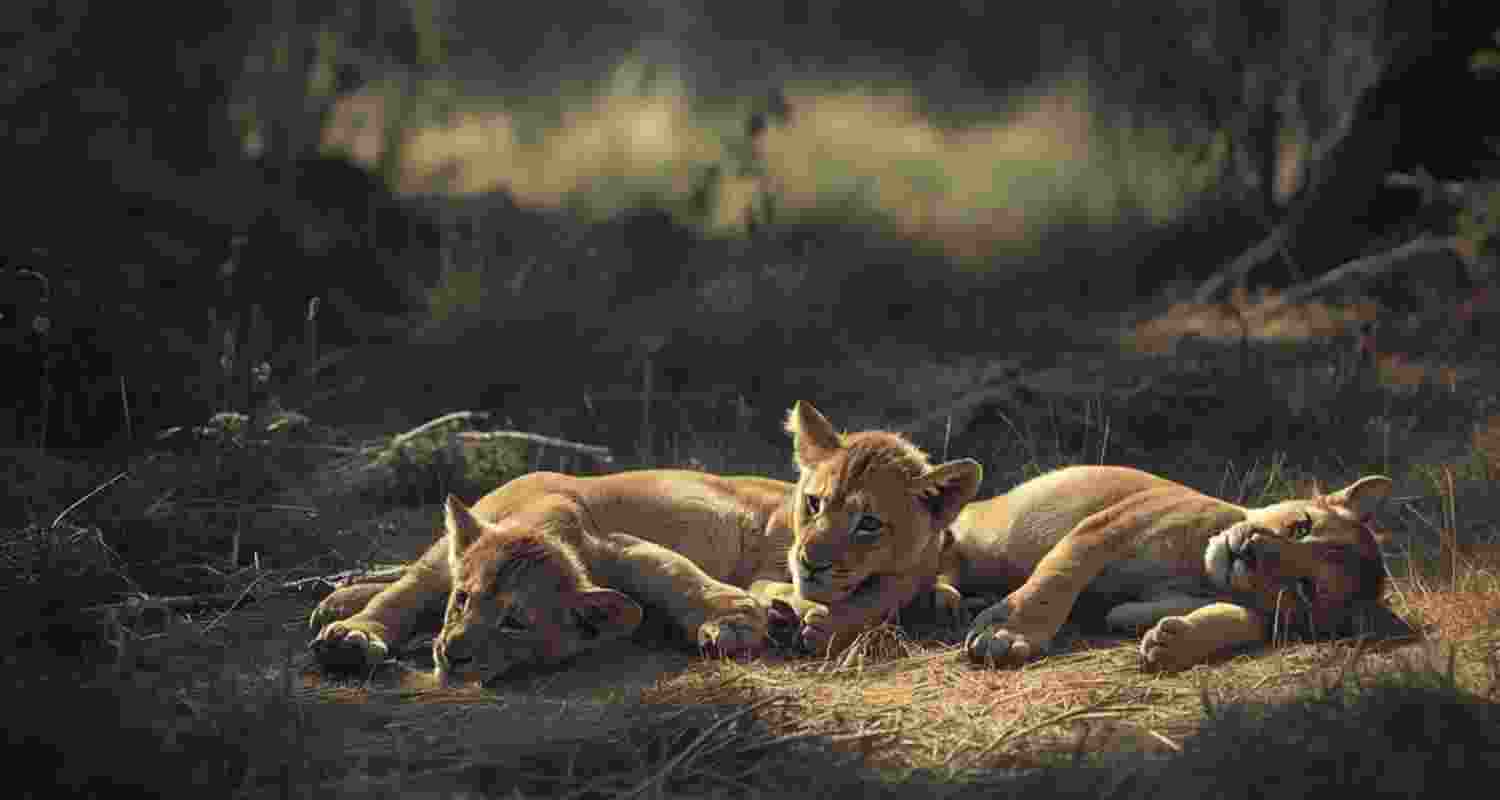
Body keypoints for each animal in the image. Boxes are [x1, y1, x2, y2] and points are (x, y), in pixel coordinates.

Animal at [955, 465, 1405, 672]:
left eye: (1304, 588)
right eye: (1301, 526)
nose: (1249, 551)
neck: (1196, 569)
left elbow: (1247, 618)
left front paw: (1173, 641)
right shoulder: (1106, 527)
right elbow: (1057, 578)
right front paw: (1008, 634)